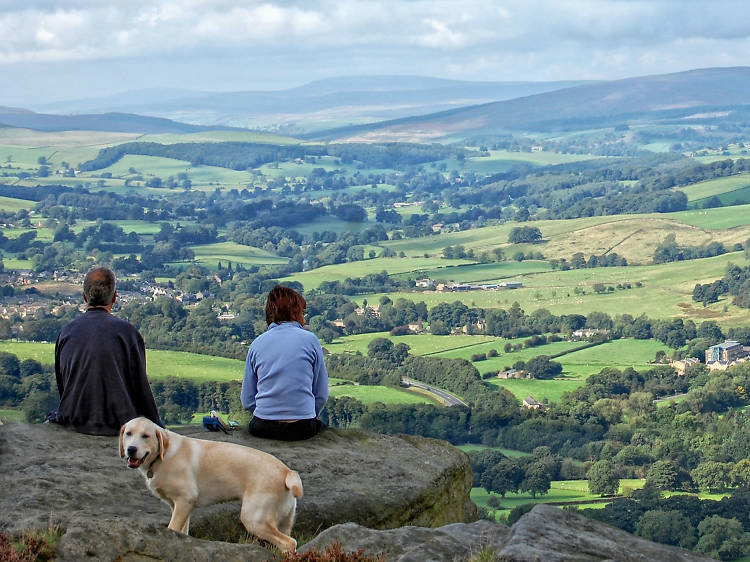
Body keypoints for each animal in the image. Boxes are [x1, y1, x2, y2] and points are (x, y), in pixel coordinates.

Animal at [120, 416, 302, 552]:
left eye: (146, 436)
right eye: (128, 433)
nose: (131, 449)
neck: (161, 457)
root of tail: (287, 471)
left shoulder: (185, 500)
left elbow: (172, 528)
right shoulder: (178, 506)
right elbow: (182, 532)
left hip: (254, 519)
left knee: (289, 542)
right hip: (283, 521)